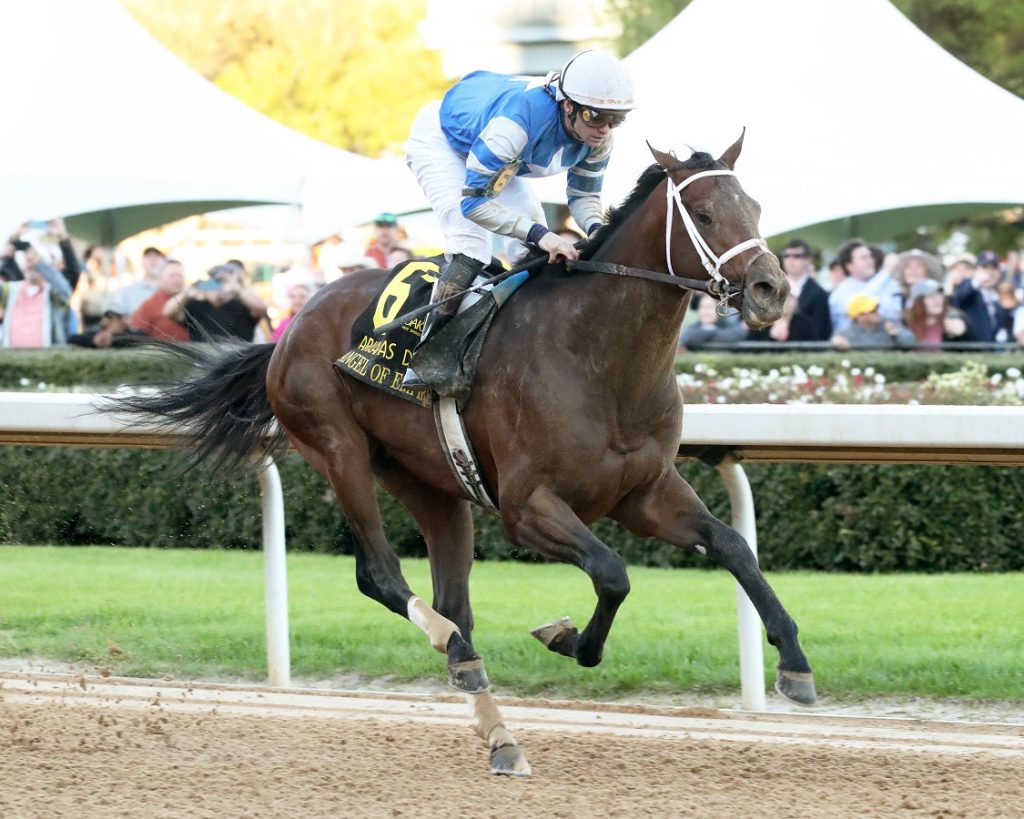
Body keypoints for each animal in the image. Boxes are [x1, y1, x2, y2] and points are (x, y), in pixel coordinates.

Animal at [110, 134, 815, 773]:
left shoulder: (645, 492)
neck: (599, 357)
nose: (771, 290)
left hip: (432, 484)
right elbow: (613, 572)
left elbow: (733, 546)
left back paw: (497, 729)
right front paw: (568, 638)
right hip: (338, 448)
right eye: (703, 214)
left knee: (454, 600)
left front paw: (795, 665)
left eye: (753, 204)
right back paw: (452, 650)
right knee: (384, 577)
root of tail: (291, 324)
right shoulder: (527, 507)